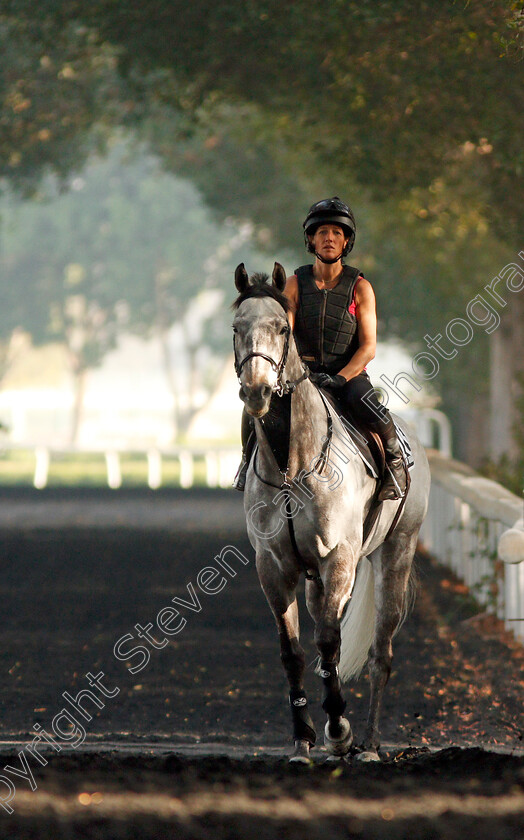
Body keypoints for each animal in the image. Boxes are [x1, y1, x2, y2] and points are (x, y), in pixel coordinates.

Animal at [233, 266, 430, 764]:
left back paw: (369, 744)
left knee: (380, 652)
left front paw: (339, 732)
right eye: (236, 328)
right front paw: (303, 740)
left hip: (395, 554)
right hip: (315, 582)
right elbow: (294, 652)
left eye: (281, 329)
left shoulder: (338, 558)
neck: (292, 464)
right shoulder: (275, 567)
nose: (257, 391)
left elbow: (327, 642)